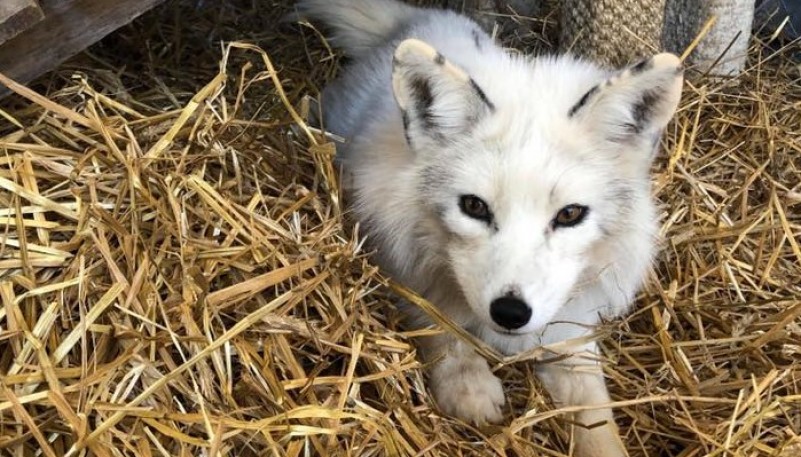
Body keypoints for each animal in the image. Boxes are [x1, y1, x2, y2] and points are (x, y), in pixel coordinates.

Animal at [294, 0, 680, 452]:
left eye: (569, 215)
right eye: (474, 207)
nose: (511, 312)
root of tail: (425, 18)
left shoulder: (569, 329)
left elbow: (597, 419)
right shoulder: (396, 254)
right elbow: (437, 321)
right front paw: (467, 385)